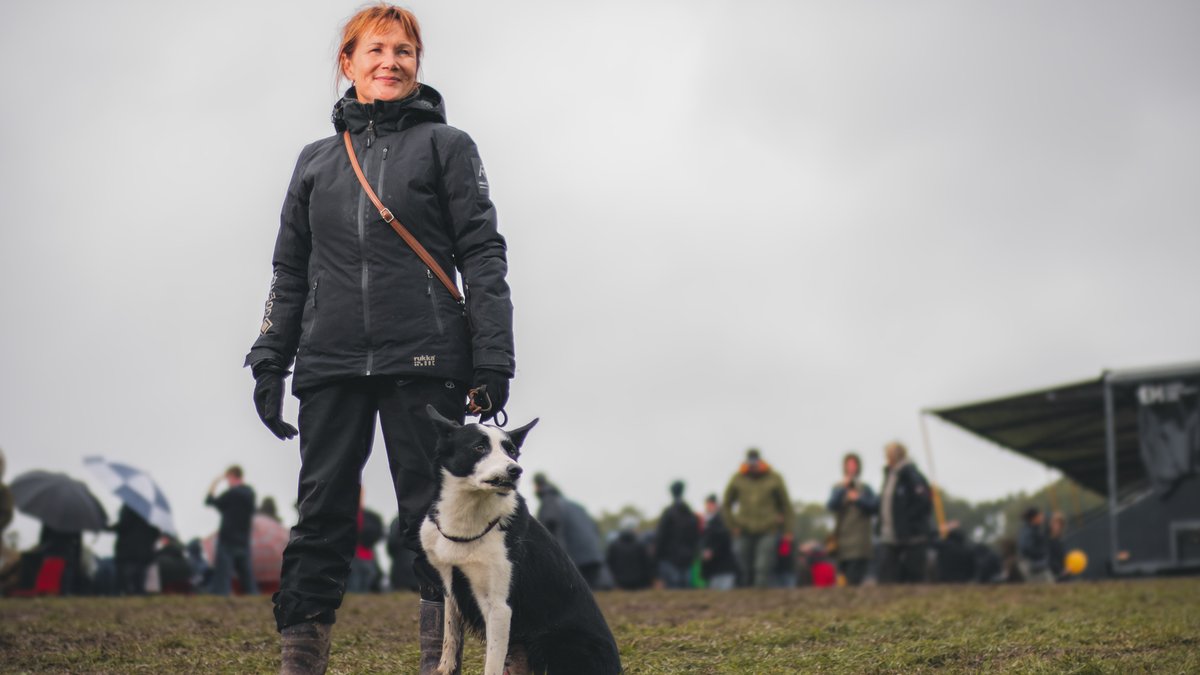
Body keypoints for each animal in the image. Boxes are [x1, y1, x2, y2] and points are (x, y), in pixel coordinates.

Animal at [422, 403, 624, 672]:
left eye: (511, 451)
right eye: (479, 447)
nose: (515, 470)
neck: (469, 517)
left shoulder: (498, 607)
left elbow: (491, 665)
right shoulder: (450, 589)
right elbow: (450, 640)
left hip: (556, 644)